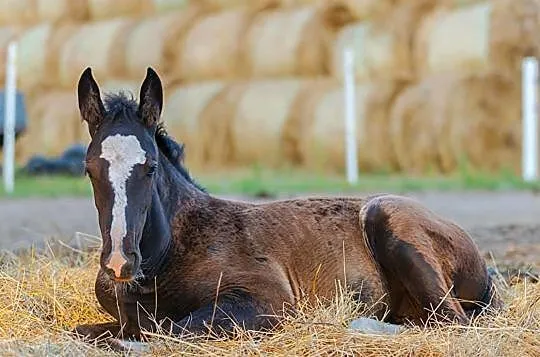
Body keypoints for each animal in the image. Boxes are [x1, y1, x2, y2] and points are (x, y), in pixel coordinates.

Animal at [73, 67, 502, 344]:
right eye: (89, 169)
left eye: (150, 166)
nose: (119, 263)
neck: (170, 253)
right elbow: (94, 330)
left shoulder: (266, 300)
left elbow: (166, 329)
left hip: (391, 221)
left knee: (451, 321)